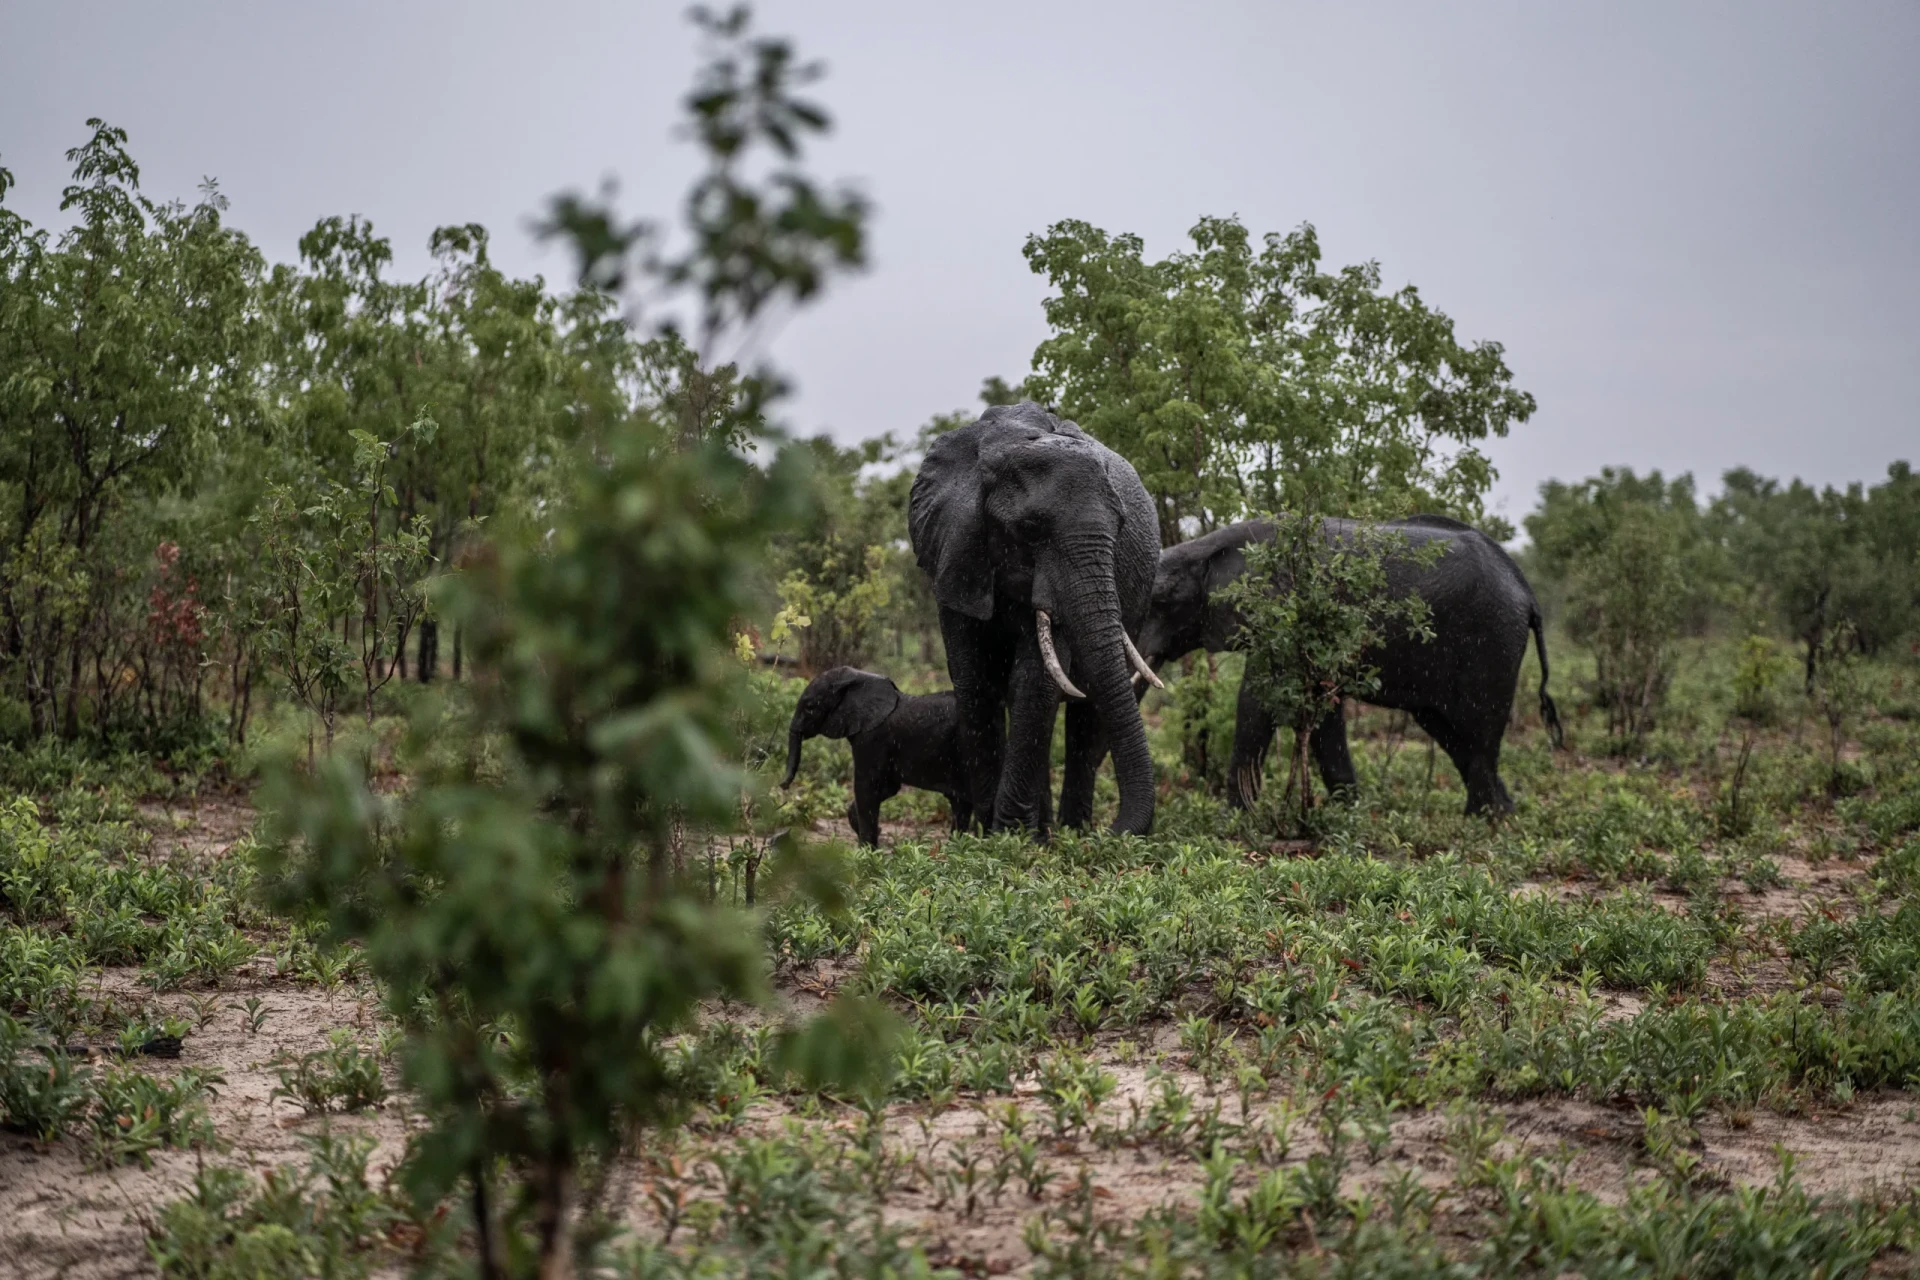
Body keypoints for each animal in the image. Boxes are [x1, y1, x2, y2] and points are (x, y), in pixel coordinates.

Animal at [778, 666, 973, 847]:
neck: (859, 678)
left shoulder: (872, 739)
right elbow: (888, 788)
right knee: (960, 803)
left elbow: (866, 788)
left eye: (810, 708)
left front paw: (866, 854)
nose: (783, 786)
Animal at [908, 402, 1164, 837]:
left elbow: (1035, 682)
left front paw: (1009, 834)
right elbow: (975, 681)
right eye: (1029, 529)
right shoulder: (955, 551)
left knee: (1087, 707)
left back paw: (1071, 831)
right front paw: (989, 834)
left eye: (1121, 526)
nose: (1114, 830)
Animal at [1136, 514, 1562, 815]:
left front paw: (1235, 818)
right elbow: (1320, 709)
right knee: (1448, 729)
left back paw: (1482, 820)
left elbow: (1258, 701)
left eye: (1159, 602)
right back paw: (1502, 815)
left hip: (1493, 639)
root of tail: (1528, 593)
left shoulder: (1285, 614)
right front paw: (1347, 812)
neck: (1207, 546)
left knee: (1479, 726)